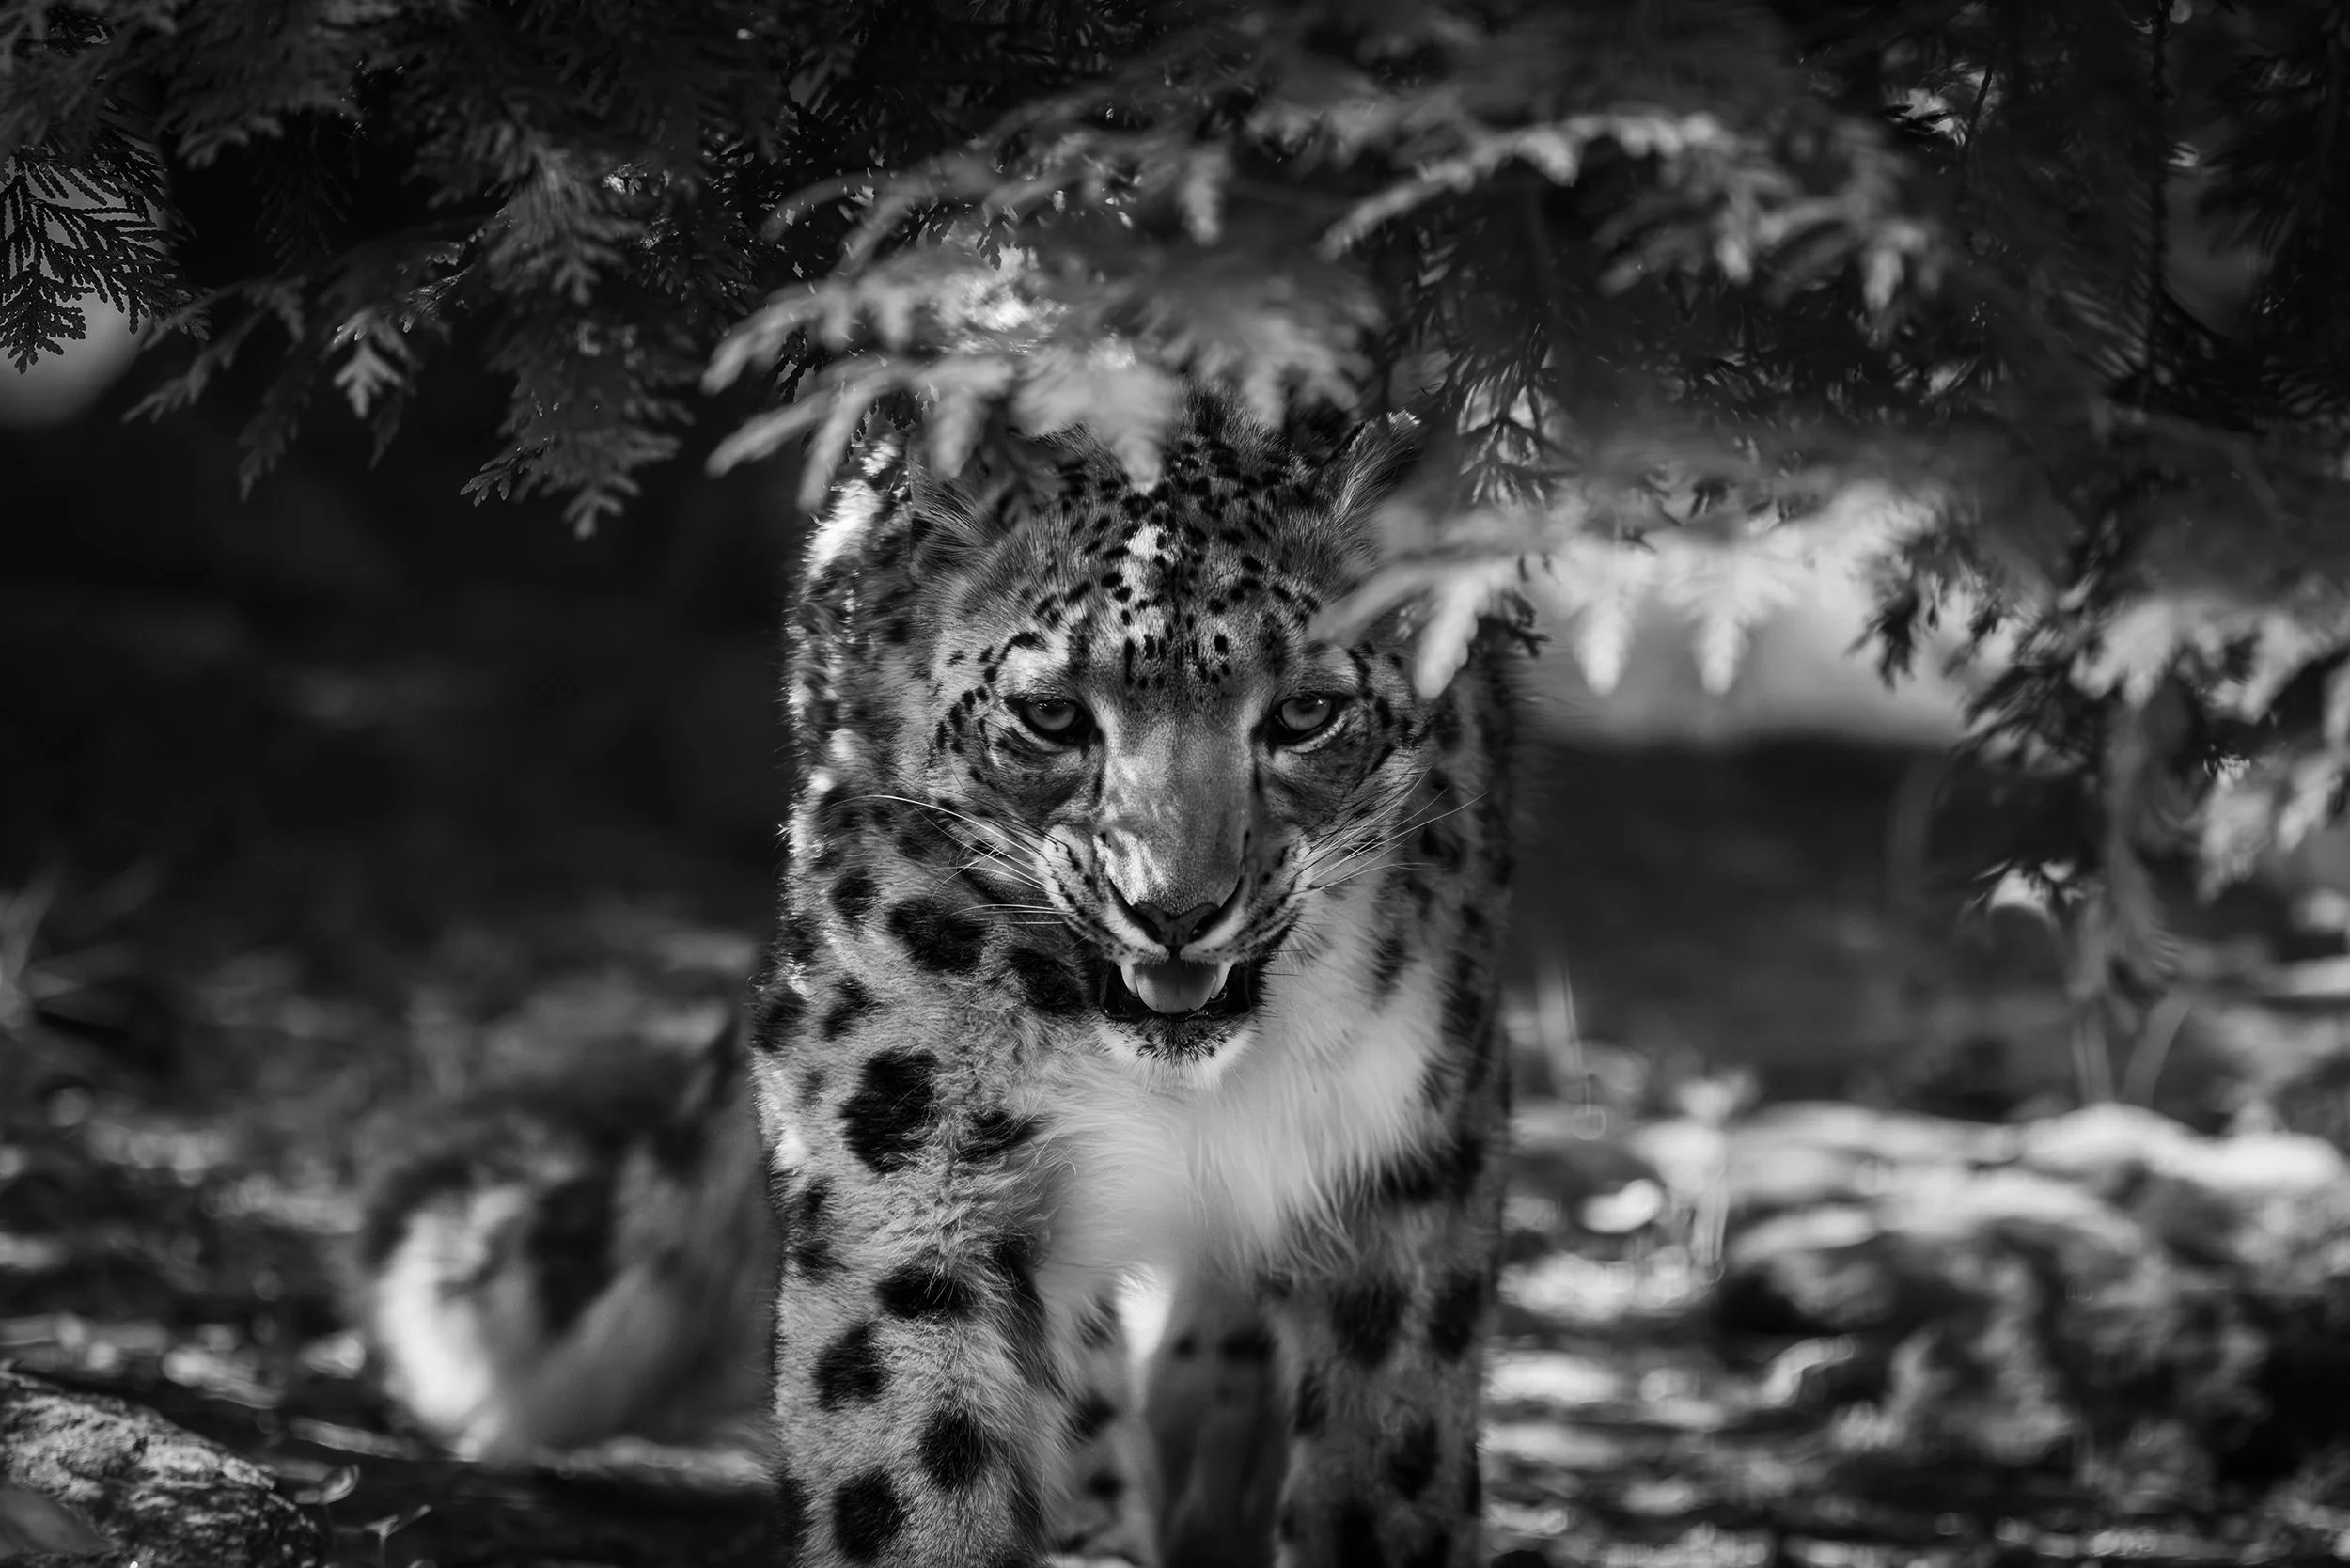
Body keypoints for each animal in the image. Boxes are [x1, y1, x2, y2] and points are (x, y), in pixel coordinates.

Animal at [354, 391, 1522, 1568]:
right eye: (1051, 716)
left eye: (1304, 714)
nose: (1175, 912)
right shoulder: (910, 1157)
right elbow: (918, 1455)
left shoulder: (1408, 1163)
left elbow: (1392, 1454)